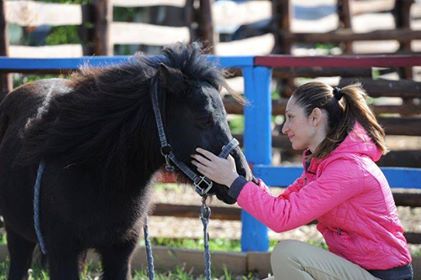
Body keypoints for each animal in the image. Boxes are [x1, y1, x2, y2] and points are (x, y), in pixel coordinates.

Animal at [0, 42, 251, 278]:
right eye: (204, 118)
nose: (242, 174)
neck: (97, 176)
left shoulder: (119, 252)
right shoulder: (62, 253)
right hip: (17, 234)